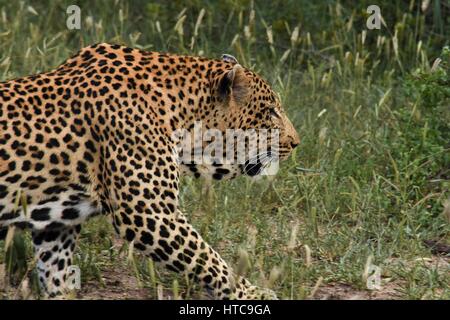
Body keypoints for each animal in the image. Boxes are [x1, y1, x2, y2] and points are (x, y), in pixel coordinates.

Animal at [1, 43, 300, 300]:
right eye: (271, 112)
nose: (297, 142)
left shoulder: (56, 225)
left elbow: (56, 272)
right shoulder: (149, 213)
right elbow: (208, 259)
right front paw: (252, 294)